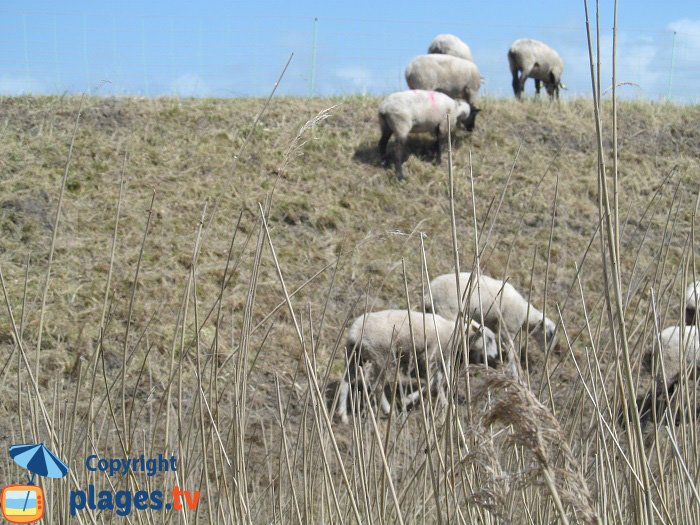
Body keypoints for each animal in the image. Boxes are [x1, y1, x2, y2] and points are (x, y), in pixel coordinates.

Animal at [338, 310, 498, 424]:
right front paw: (409, 399)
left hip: (355, 355)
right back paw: (388, 410)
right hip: (380, 354)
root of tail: (354, 333)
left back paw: (342, 414)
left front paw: (443, 402)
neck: (455, 334)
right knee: (376, 385)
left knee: (346, 381)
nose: (495, 356)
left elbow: (438, 381)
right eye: (489, 339)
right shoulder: (430, 355)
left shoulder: (438, 358)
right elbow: (433, 381)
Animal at [424, 270, 560, 352]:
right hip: (448, 312)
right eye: (550, 334)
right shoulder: (508, 327)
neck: (527, 315)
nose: (549, 351)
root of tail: (429, 294)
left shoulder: (492, 322)